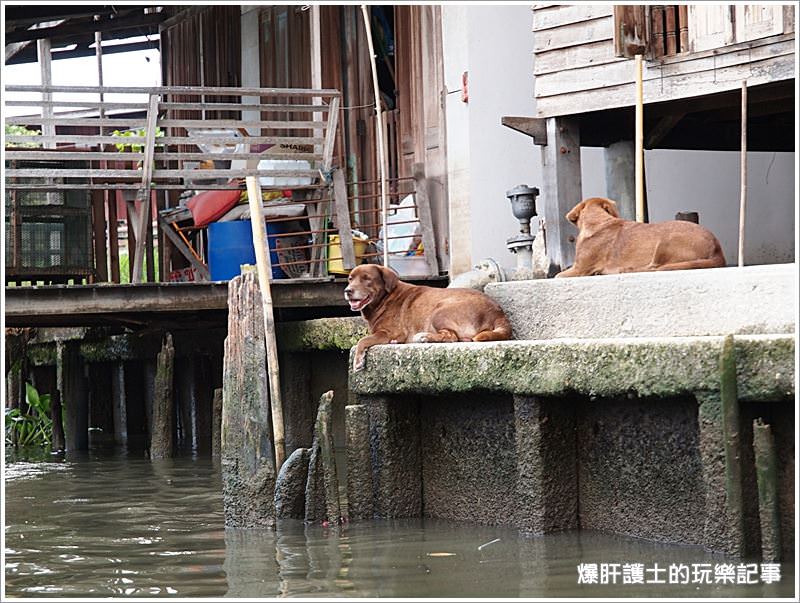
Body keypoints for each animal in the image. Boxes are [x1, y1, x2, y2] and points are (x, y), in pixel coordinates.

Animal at [344, 266, 512, 370]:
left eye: (367, 278)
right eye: (350, 279)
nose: (347, 290)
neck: (384, 298)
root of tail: (498, 312)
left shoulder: (390, 332)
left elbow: (362, 340)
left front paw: (357, 361)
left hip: (439, 310)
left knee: (452, 337)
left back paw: (424, 337)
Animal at [556, 197, 724, 278]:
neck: (598, 221)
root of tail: (717, 249)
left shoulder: (579, 269)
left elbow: (557, 275)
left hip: (664, 241)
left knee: (654, 268)